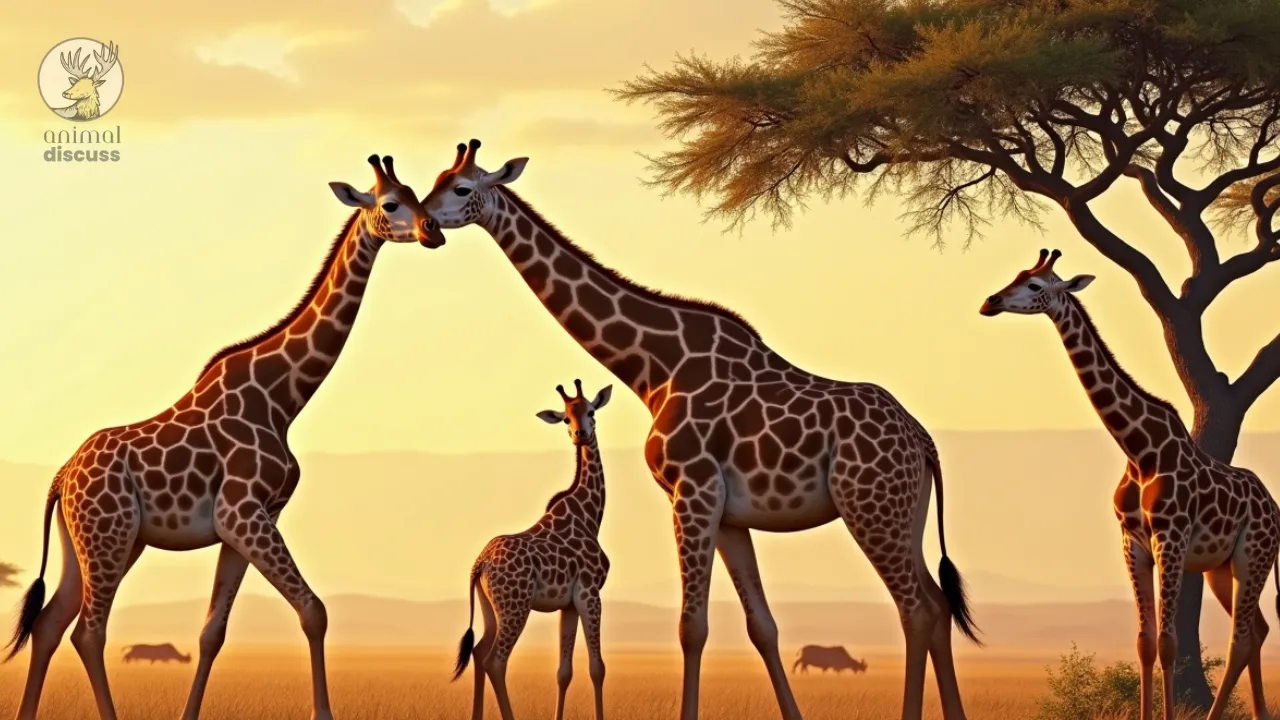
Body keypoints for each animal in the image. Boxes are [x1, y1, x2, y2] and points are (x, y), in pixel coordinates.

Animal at [2, 155, 444, 720]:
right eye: (390, 203)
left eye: (417, 195)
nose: (432, 230)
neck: (283, 400)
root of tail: (62, 476)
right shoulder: (243, 513)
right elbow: (314, 610)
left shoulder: (248, 521)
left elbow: (213, 632)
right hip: (109, 534)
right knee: (88, 632)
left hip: (94, 540)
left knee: (50, 623)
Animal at [451, 379, 613, 720]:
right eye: (565, 418)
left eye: (591, 411)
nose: (580, 434)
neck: (590, 514)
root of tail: (479, 564)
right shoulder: (590, 592)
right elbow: (598, 667)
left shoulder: (569, 603)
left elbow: (564, 671)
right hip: (516, 605)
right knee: (495, 660)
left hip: (489, 606)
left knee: (478, 651)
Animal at [979, 248, 1280, 720]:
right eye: (1018, 273)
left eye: (1035, 285)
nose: (989, 302)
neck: (1139, 449)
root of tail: (1274, 506)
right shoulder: (1133, 542)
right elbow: (1144, 642)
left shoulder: (1170, 538)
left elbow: (1169, 642)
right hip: (1221, 567)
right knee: (1256, 631)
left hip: (1254, 554)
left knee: (1240, 637)